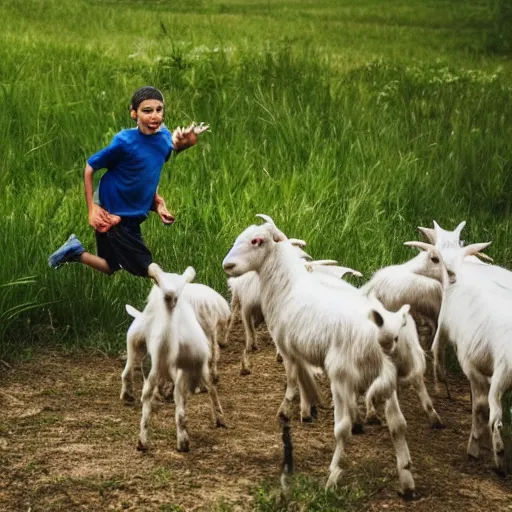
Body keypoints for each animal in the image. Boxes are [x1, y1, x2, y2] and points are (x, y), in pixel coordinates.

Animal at [122, 264, 226, 452]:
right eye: (160, 283)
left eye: (179, 288)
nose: (170, 296)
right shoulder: (159, 371)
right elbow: (152, 400)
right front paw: (144, 440)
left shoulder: (176, 372)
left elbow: (176, 404)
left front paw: (181, 440)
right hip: (138, 345)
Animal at [223, 217, 416, 500]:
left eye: (257, 241)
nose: (227, 266)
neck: (285, 286)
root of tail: (386, 332)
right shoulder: (300, 351)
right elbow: (305, 380)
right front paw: (310, 406)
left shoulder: (287, 348)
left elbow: (293, 380)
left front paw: (289, 410)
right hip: (388, 379)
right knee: (398, 426)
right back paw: (406, 480)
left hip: (342, 374)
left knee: (342, 429)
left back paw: (333, 476)